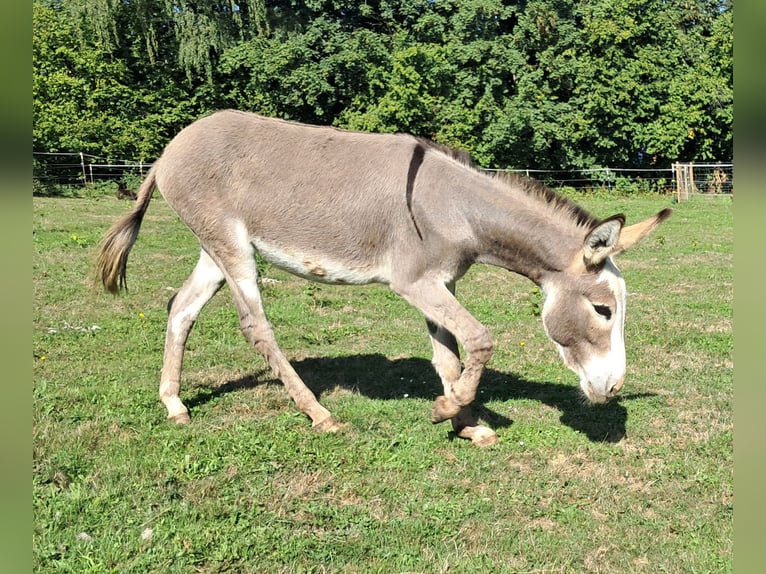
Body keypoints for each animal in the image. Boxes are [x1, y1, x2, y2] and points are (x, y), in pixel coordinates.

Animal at [97, 110, 671, 446]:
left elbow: (449, 355)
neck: (458, 207)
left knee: (181, 308)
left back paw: (174, 405)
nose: (614, 388)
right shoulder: (414, 282)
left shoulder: (441, 284)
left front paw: (465, 423)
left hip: (214, 251)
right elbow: (481, 340)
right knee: (257, 327)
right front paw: (447, 410)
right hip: (232, 248)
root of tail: (171, 147)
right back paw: (319, 415)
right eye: (603, 310)